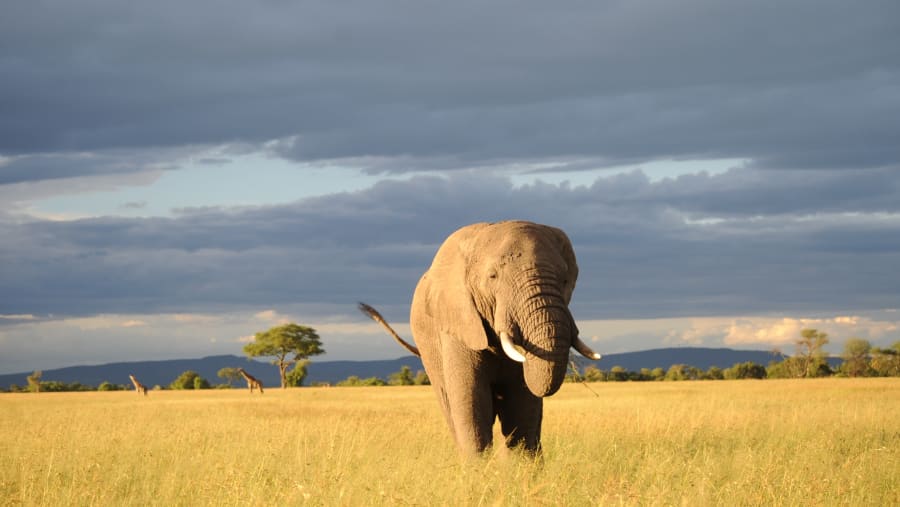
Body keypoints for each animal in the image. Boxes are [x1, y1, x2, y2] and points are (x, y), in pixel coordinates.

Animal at [359, 220, 601, 455]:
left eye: (565, 280)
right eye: (493, 276)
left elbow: (521, 407)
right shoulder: (458, 323)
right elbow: (472, 402)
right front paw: (478, 467)